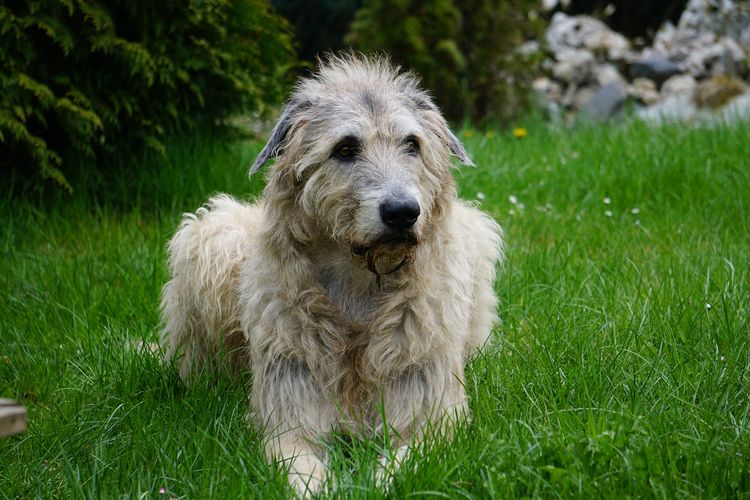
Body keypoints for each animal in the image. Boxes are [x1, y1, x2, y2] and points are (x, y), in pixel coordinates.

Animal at [162, 53, 508, 492]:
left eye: (412, 144)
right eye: (345, 148)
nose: (402, 212)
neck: (360, 282)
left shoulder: (433, 418)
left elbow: (405, 462)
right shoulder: (287, 415)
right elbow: (297, 462)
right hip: (211, 238)